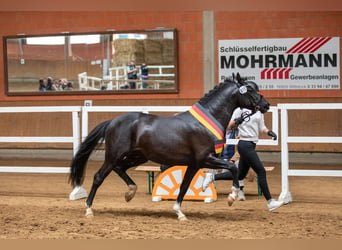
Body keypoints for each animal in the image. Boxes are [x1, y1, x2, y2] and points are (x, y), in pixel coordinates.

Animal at [69, 73, 272, 220]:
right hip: (113, 155)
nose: (266, 105)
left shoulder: (194, 164)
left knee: (120, 169)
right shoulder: (206, 159)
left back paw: (130, 193)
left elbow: (184, 186)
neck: (206, 121)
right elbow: (232, 167)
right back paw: (89, 209)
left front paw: (179, 212)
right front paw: (232, 197)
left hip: (138, 156)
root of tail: (112, 121)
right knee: (99, 177)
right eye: (250, 90)